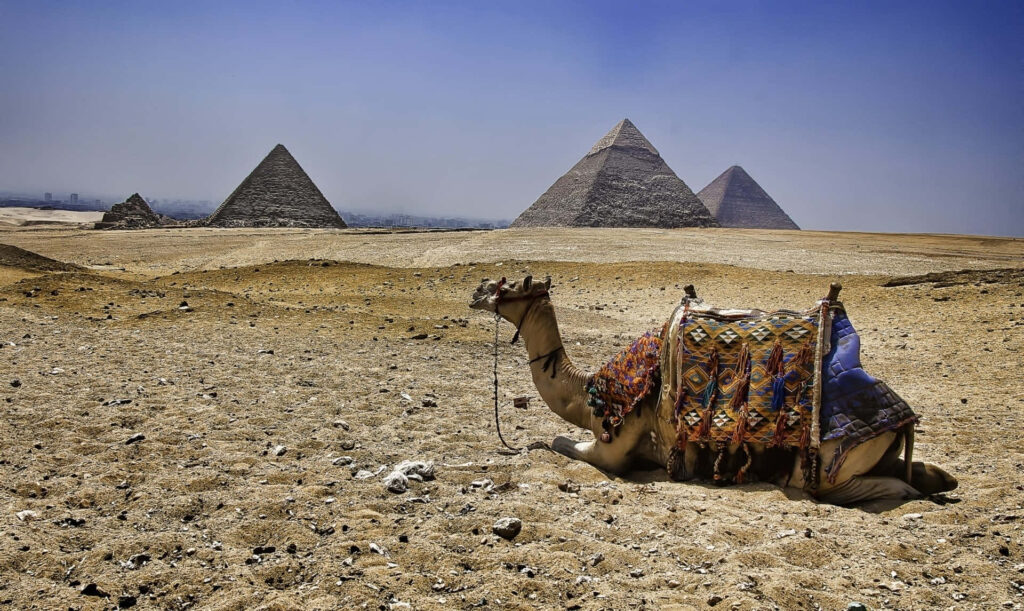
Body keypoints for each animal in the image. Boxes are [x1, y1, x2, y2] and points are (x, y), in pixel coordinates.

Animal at [470, 275, 957, 505]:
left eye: (506, 287)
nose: (476, 293)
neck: (590, 391)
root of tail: (902, 418)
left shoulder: (615, 446)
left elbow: (559, 441)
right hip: (878, 451)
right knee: (920, 471)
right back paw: (941, 479)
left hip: (825, 466)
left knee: (870, 487)